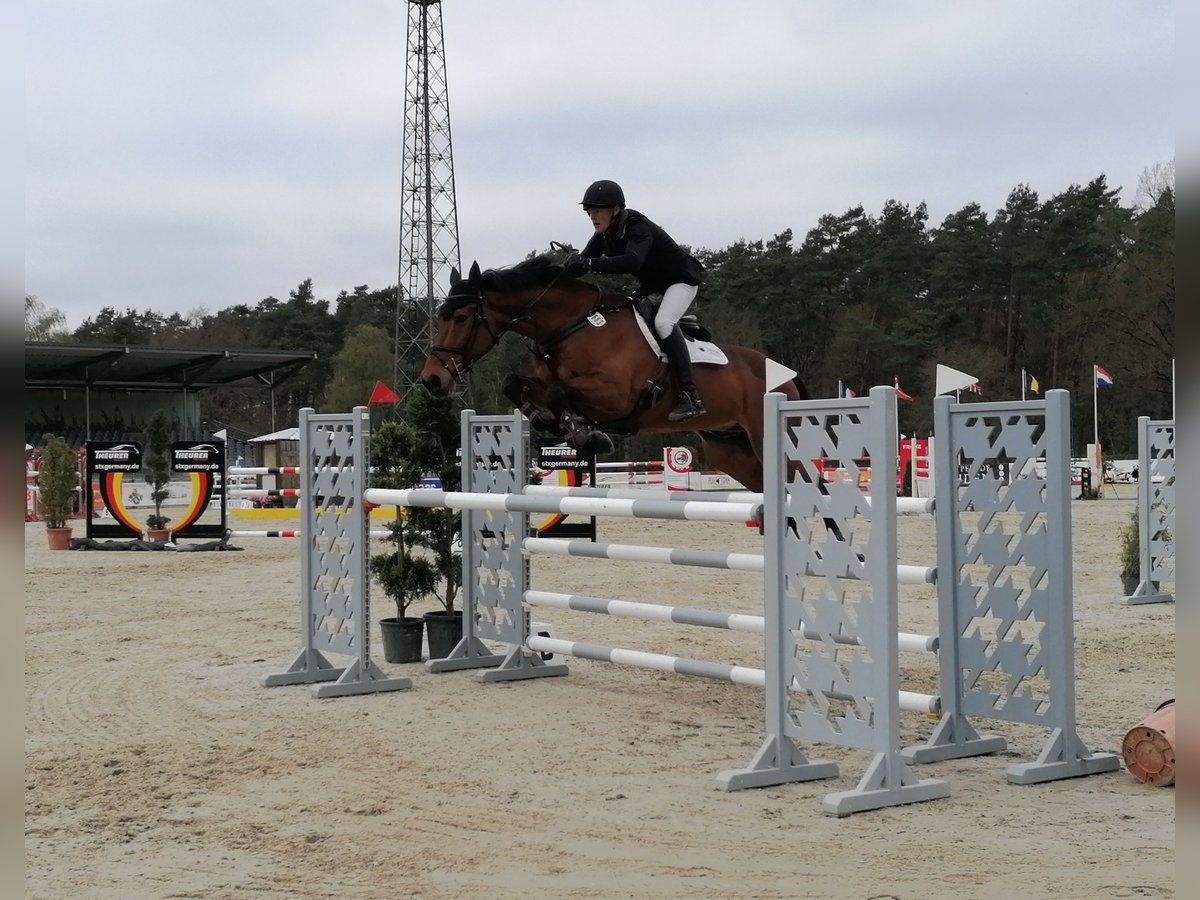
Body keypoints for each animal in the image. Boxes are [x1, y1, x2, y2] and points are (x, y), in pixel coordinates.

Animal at [415, 254, 806, 494]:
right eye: (440, 316)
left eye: (461, 317)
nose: (432, 379)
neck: (573, 325)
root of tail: (786, 376)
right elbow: (520, 384)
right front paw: (554, 421)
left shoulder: (615, 396)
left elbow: (560, 392)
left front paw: (589, 434)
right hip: (731, 449)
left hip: (766, 439)